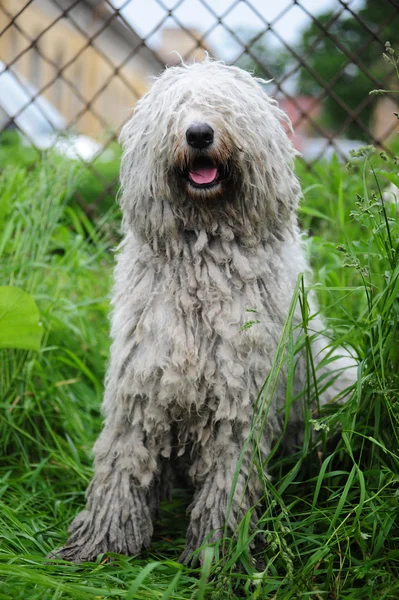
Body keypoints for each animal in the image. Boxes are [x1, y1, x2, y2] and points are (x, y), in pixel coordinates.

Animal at [53, 59, 356, 564]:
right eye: (176, 109)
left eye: (225, 106)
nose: (198, 133)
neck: (204, 252)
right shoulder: (141, 380)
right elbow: (121, 461)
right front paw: (103, 541)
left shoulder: (241, 398)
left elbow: (227, 481)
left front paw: (219, 554)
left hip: (338, 376)